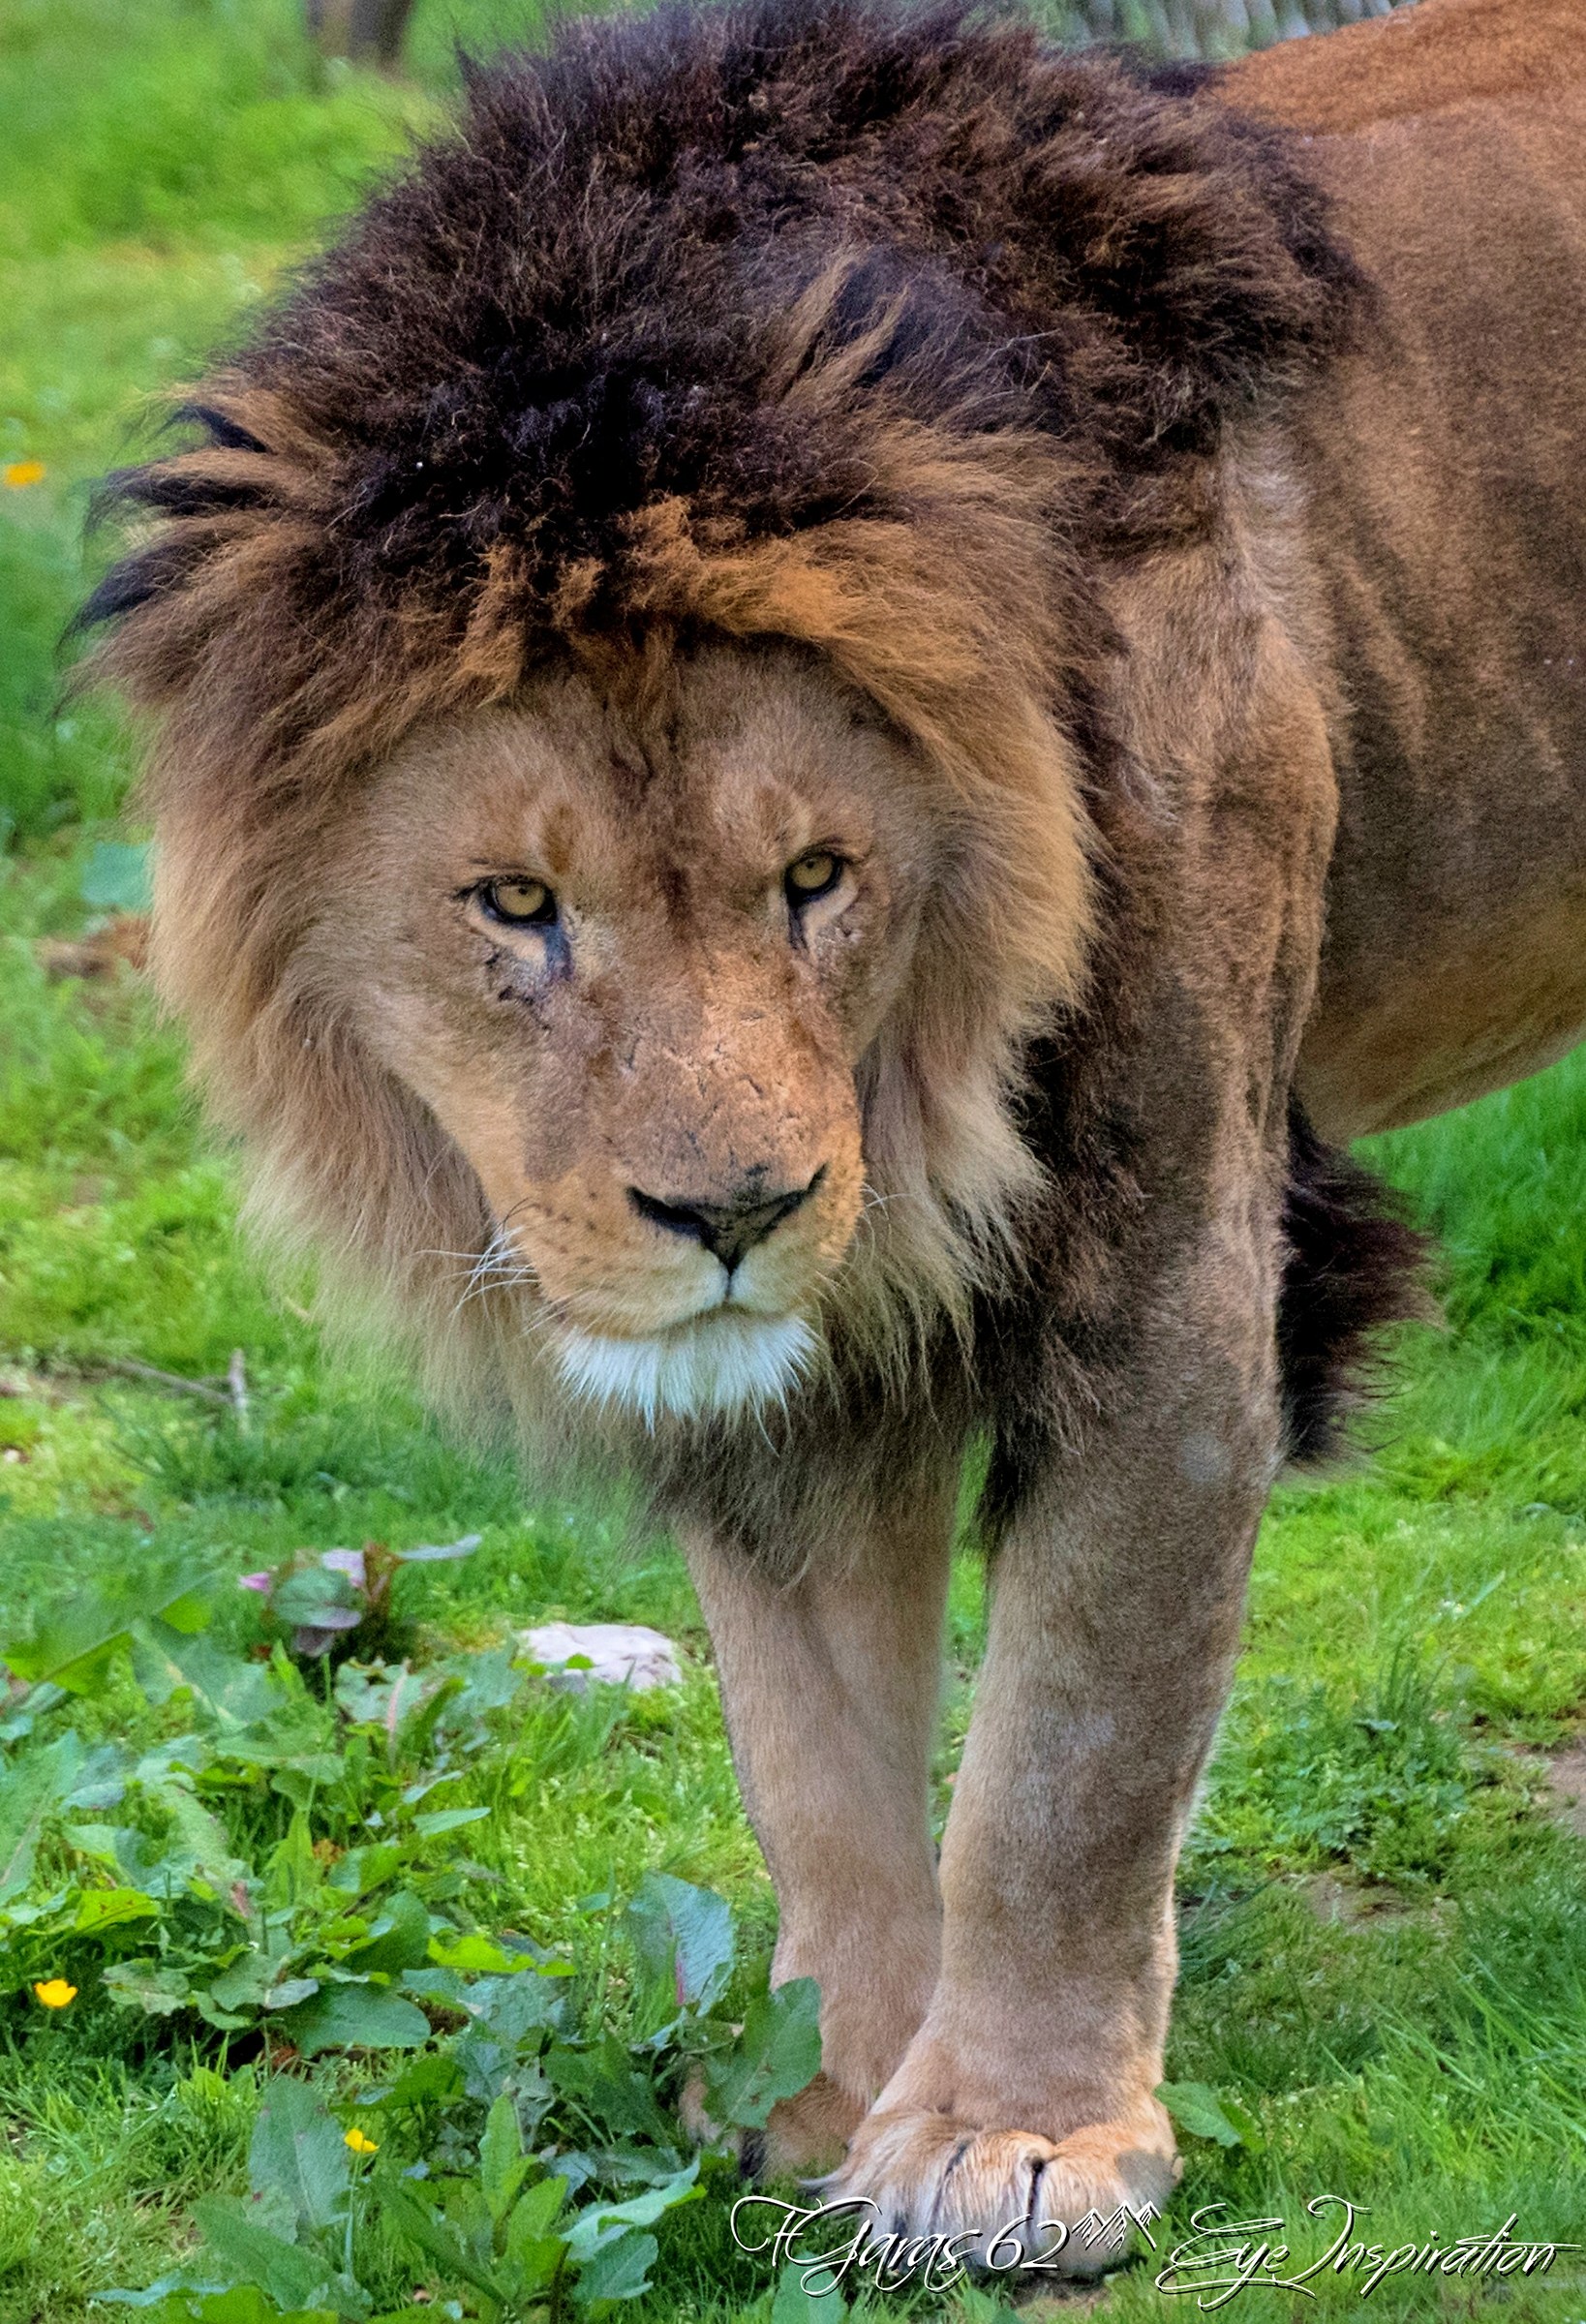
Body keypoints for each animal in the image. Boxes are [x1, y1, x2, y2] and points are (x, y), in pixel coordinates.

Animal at [83, 0, 1586, 2271]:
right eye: (516, 906)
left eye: (815, 878)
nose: (737, 1211)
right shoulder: (789, 1373)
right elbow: (810, 1757)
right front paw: (829, 2104)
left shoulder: (1165, 1263)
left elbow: (1069, 1738)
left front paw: (1013, 2146)